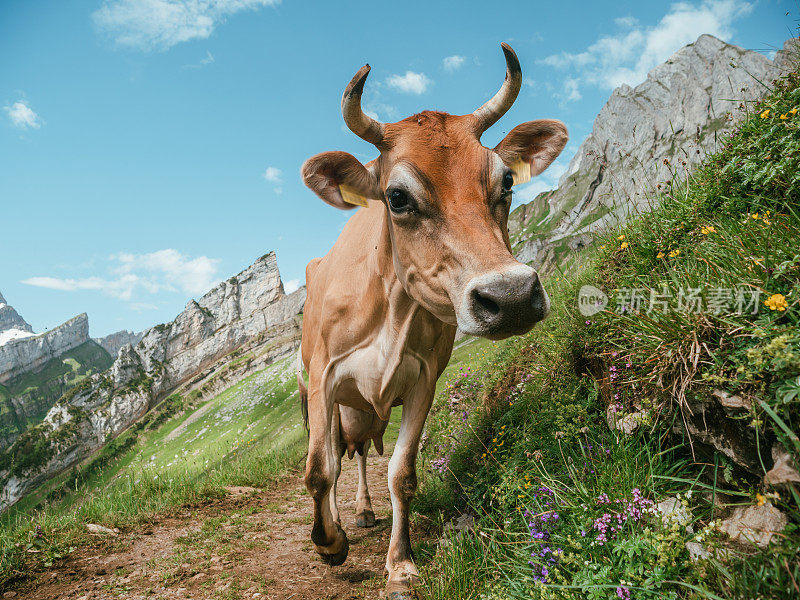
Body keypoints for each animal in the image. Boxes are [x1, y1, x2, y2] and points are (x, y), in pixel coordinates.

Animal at [296, 44, 564, 596]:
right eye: (397, 197)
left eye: (506, 181)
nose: (511, 297)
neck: (390, 312)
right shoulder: (324, 379)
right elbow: (317, 470)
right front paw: (329, 544)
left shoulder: (423, 380)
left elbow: (402, 473)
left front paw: (400, 566)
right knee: (334, 454)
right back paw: (342, 522)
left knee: (360, 455)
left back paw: (364, 510)